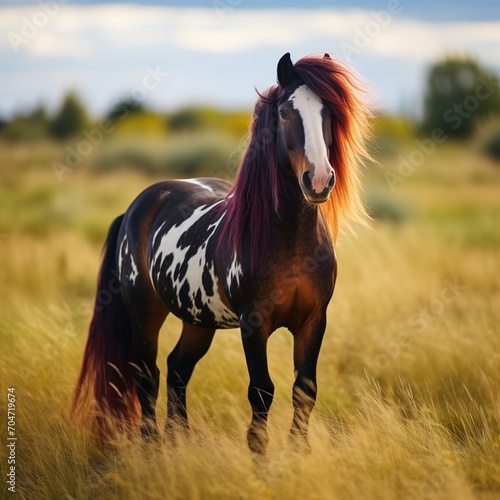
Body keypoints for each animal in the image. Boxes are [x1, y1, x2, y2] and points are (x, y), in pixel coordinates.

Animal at [73, 51, 372, 454]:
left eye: (330, 112)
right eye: (284, 112)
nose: (320, 181)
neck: (292, 243)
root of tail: (141, 203)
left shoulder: (314, 321)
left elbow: (304, 390)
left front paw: (298, 453)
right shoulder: (254, 324)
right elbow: (262, 393)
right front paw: (260, 457)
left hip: (198, 321)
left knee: (177, 369)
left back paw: (179, 442)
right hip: (145, 312)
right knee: (147, 375)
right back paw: (152, 448)